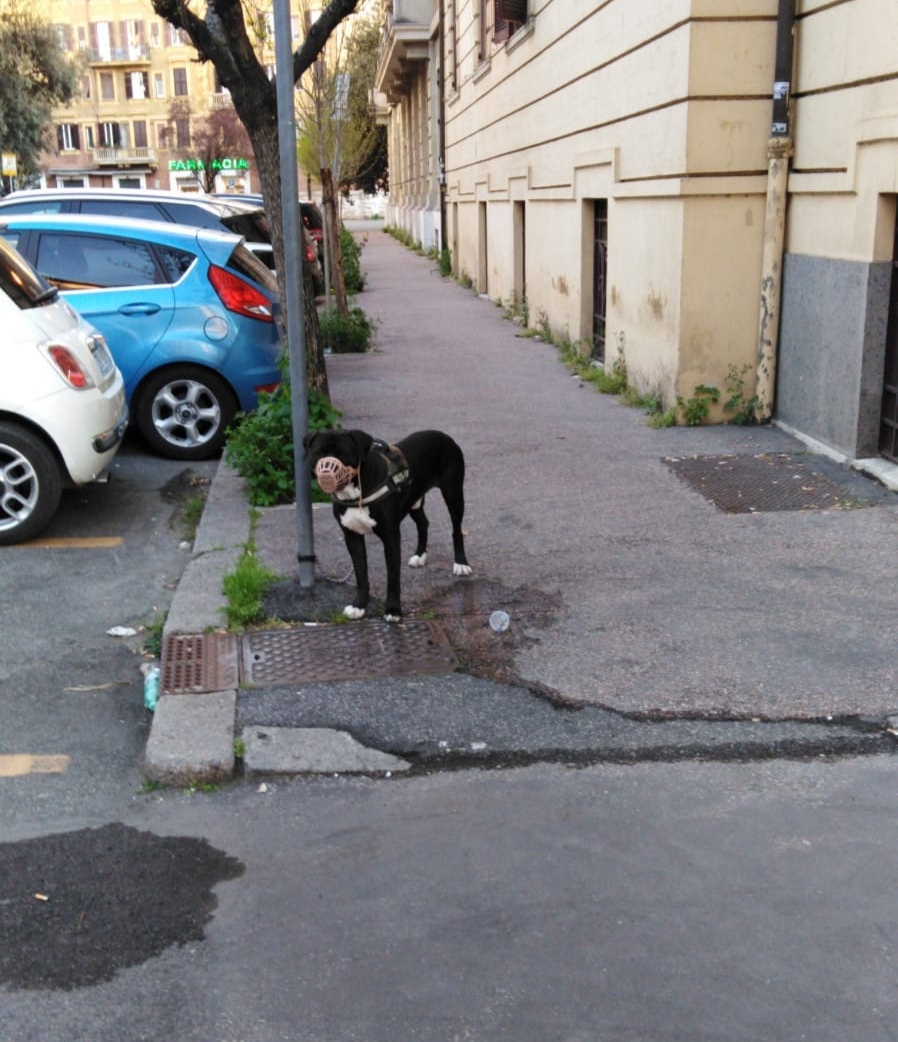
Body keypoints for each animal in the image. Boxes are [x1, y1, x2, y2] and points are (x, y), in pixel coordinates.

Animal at [304, 429, 475, 621]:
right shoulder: (352, 536)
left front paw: (393, 610)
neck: (357, 492)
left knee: (456, 529)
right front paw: (359, 606)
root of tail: (442, 435)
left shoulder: (391, 537)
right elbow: (361, 574)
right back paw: (419, 555)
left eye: (343, 454)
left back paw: (460, 563)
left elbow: (393, 577)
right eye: (317, 452)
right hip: (413, 499)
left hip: (453, 492)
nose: (326, 470)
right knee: (423, 523)